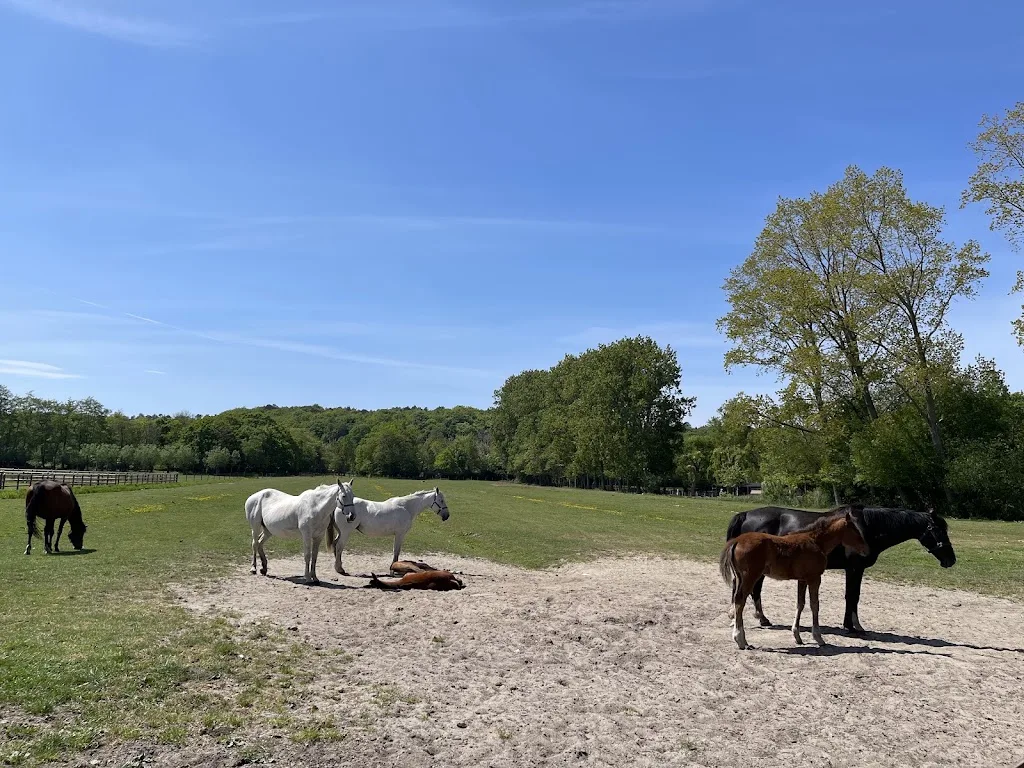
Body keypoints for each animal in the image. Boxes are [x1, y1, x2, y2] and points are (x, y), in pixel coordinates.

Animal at [720, 505, 869, 650]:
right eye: (855, 530)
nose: (866, 550)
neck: (816, 542)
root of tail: (737, 541)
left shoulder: (802, 579)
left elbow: (800, 604)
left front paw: (797, 636)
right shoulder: (815, 578)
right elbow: (815, 605)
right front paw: (819, 638)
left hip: (741, 577)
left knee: (737, 598)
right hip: (750, 577)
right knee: (740, 601)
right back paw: (740, 639)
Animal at [725, 504, 956, 633]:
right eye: (938, 530)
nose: (951, 560)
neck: (867, 527)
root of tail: (746, 514)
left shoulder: (855, 570)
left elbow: (854, 595)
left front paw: (852, 625)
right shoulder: (854, 568)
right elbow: (852, 596)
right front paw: (853, 627)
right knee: (753, 590)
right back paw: (760, 618)